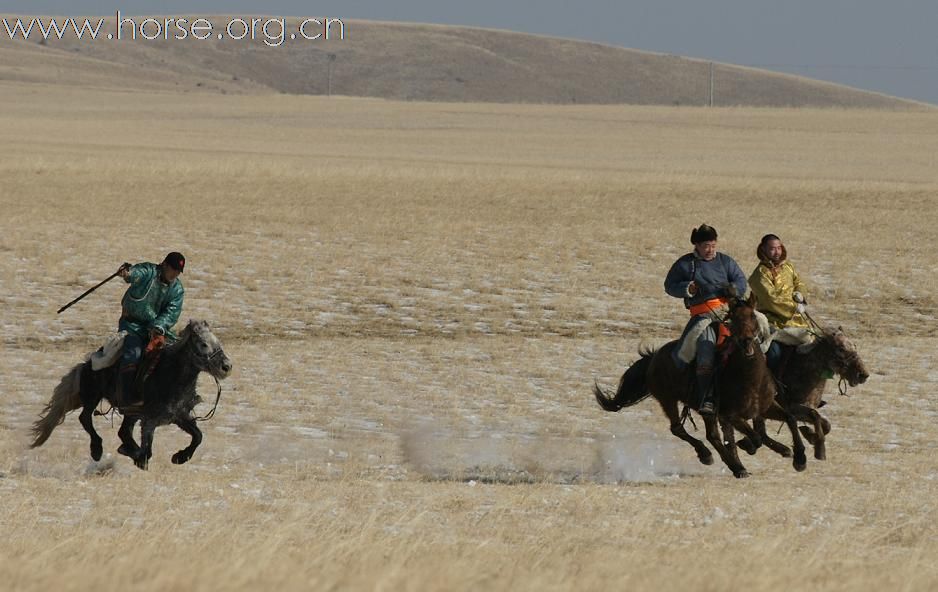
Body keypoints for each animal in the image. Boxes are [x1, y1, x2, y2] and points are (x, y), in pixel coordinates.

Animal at [30, 322, 231, 470]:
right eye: (203, 344)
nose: (226, 366)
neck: (170, 375)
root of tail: (85, 365)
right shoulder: (150, 420)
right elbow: (147, 450)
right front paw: (139, 459)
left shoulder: (180, 416)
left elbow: (198, 436)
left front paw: (179, 457)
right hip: (93, 397)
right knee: (85, 418)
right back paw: (97, 449)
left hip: (128, 413)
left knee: (122, 431)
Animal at [592, 298, 804, 478]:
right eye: (733, 320)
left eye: (752, 316)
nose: (746, 342)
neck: (751, 378)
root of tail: (654, 357)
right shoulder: (730, 415)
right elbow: (755, 437)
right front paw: (748, 445)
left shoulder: (765, 407)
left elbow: (790, 418)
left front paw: (799, 459)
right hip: (669, 399)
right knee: (680, 429)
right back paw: (711, 457)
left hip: (704, 411)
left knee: (713, 436)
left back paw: (739, 466)